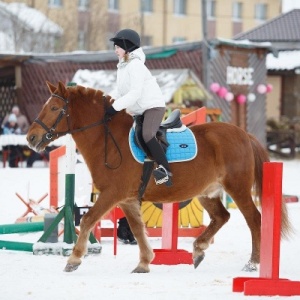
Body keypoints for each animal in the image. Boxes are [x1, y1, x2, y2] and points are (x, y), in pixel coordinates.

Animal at [26, 81, 290, 274]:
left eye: (53, 109)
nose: (30, 138)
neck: (109, 140)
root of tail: (243, 134)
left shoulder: (112, 194)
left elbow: (89, 219)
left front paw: (74, 259)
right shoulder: (127, 199)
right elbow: (137, 228)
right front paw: (144, 262)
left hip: (237, 188)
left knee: (254, 220)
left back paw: (253, 263)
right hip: (207, 192)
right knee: (221, 216)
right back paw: (198, 249)